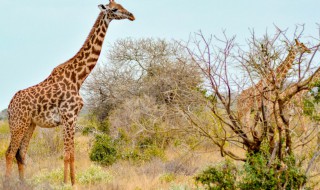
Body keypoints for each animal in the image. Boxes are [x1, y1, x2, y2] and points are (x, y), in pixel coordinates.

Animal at [4, 0, 135, 185]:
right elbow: (67, 155)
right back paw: (8, 183)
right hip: (18, 123)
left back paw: (23, 184)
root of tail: (10, 106)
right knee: (9, 153)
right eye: (115, 9)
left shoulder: (73, 118)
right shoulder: (68, 117)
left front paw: (73, 182)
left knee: (20, 154)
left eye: (122, 5)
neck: (78, 78)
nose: (132, 15)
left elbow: (72, 154)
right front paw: (66, 183)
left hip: (29, 124)